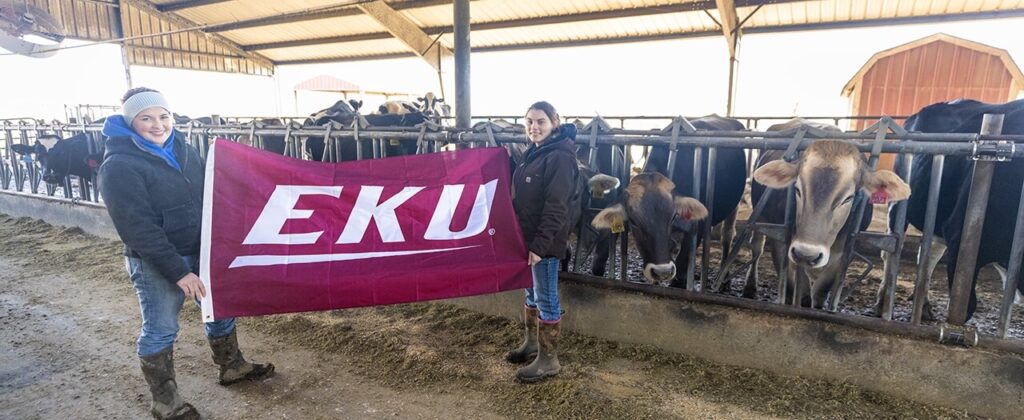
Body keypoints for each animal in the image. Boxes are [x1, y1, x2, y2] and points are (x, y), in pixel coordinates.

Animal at [753, 134, 913, 309]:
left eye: (848, 198)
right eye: (797, 190)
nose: (806, 254)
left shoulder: (844, 252)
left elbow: (820, 291)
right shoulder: (781, 242)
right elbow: (792, 288)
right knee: (757, 248)